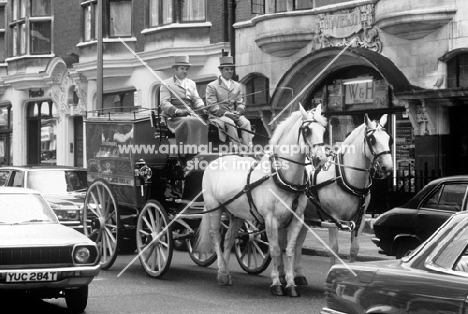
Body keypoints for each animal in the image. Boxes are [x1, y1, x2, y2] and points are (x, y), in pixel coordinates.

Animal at [196, 105, 328, 296]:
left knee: (228, 238)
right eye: (307, 130)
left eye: (324, 130)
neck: (280, 177)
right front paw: (276, 283)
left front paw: (291, 284)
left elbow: (289, 250)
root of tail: (216, 160)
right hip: (214, 208)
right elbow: (274, 250)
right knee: (216, 236)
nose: (321, 159)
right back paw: (221, 271)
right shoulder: (270, 219)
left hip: (236, 213)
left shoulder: (296, 219)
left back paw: (226, 273)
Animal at [280, 113, 394, 284]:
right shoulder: (333, 219)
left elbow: (354, 250)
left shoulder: (359, 220)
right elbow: (334, 250)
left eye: (389, 139)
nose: (388, 167)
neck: (344, 176)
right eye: (372, 139)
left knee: (297, 243)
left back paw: (297, 274)